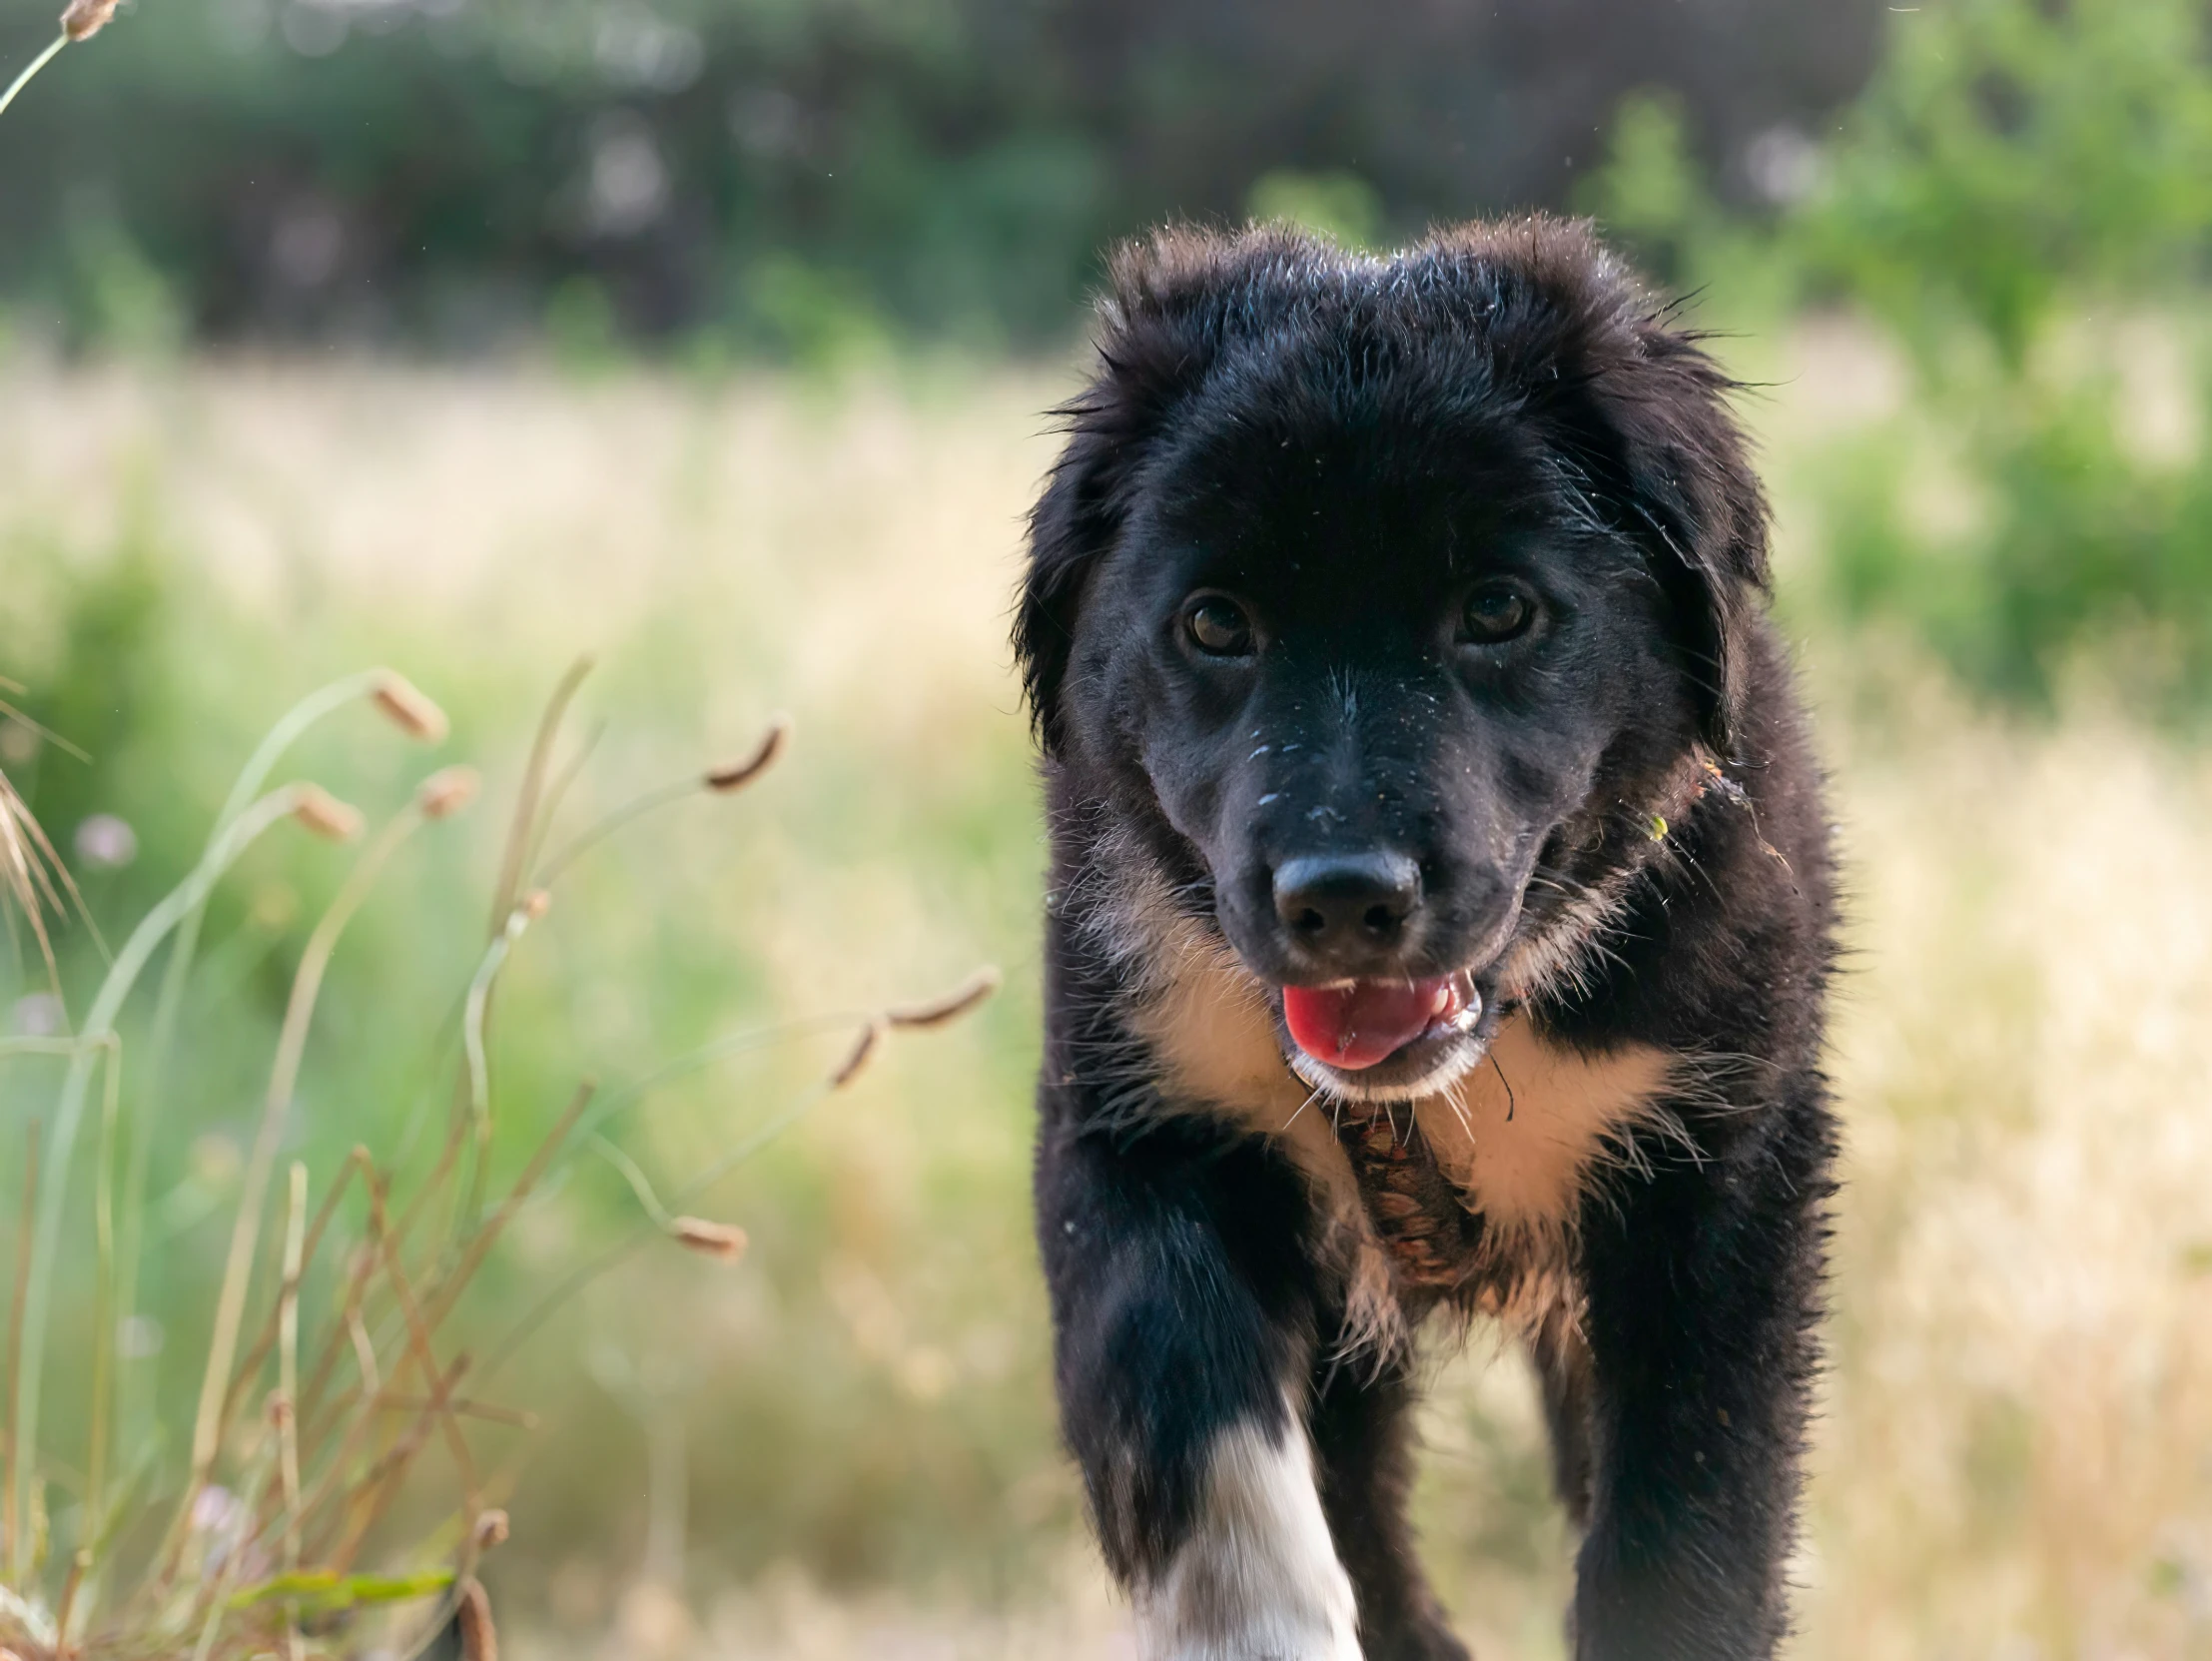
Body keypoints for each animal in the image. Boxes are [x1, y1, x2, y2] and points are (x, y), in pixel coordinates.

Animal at [1013, 221, 1832, 1661]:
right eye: (1213, 622)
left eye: (1496, 610)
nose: (1340, 897)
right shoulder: (1133, 1114)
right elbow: (1183, 1405)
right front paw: (1258, 1627)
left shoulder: (1725, 1167)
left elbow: (1687, 1519)